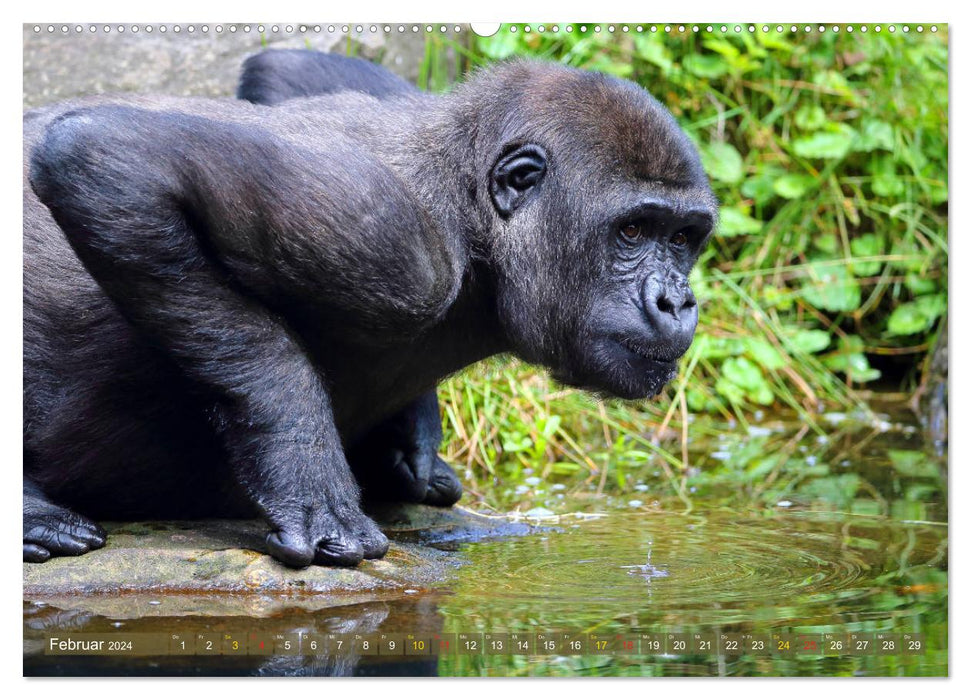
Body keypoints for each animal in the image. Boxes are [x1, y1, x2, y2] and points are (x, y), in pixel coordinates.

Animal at [22, 52, 716, 568]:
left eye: (684, 239)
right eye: (633, 231)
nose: (677, 301)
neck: (474, 229)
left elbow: (289, 68)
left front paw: (414, 435)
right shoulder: (393, 241)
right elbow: (105, 159)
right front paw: (305, 468)